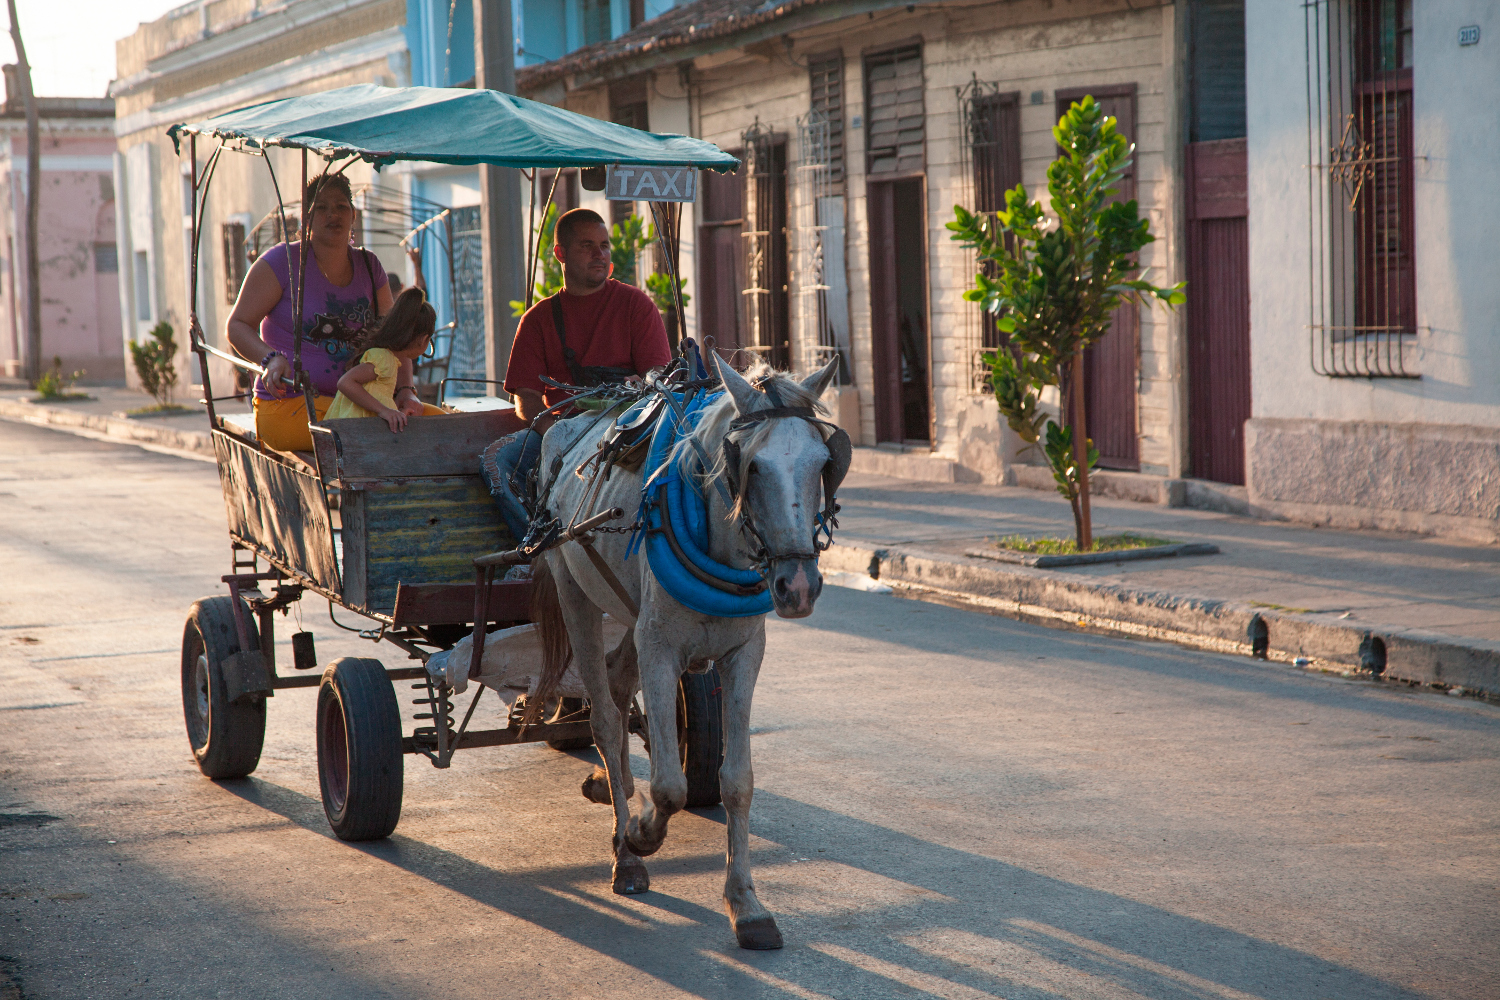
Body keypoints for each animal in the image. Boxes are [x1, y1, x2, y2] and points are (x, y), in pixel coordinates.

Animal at [531, 353, 846, 953]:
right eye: (752, 467)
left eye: (824, 462)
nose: (798, 587)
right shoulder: (660, 648)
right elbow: (670, 786)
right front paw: (639, 833)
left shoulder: (744, 654)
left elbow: (737, 780)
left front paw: (746, 905)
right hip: (573, 589)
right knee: (605, 718)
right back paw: (626, 850)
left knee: (617, 682)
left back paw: (610, 786)